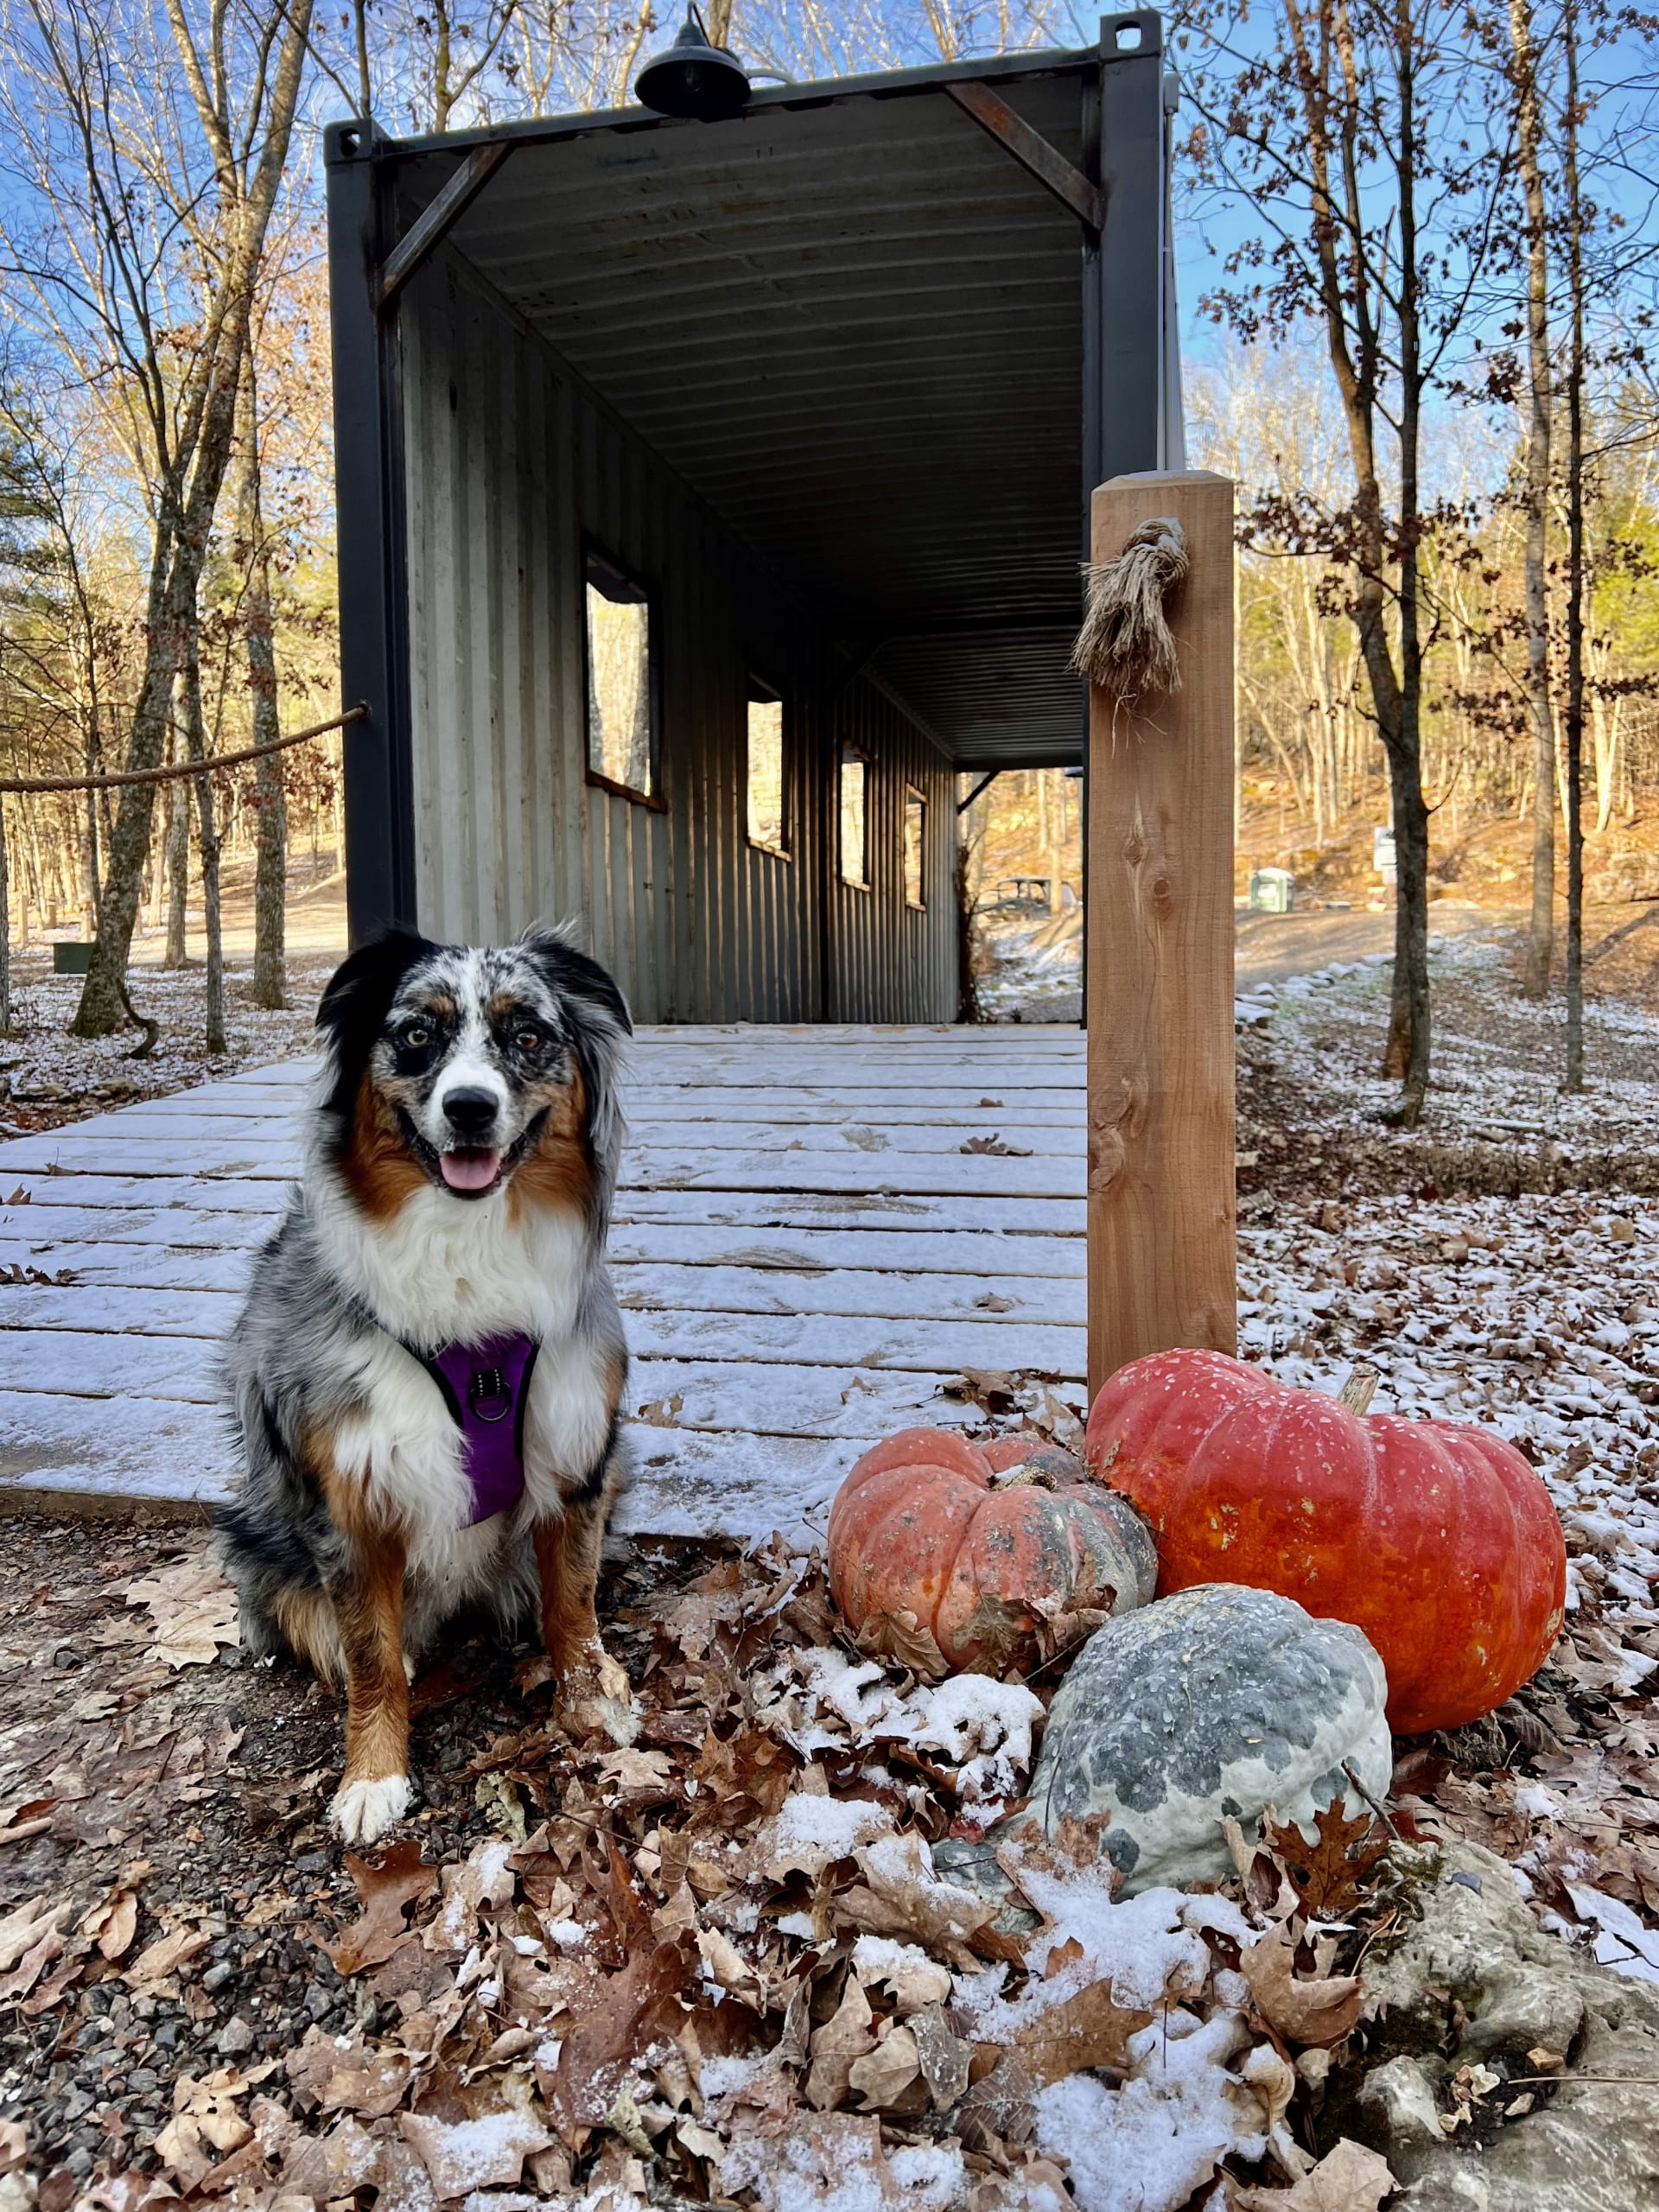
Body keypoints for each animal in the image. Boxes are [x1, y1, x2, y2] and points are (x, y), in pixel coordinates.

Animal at [218, 925, 632, 1840]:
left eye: (528, 1036)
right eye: (416, 1034)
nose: (470, 1107)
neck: (465, 1249)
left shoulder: (577, 1453)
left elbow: (574, 1600)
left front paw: (592, 1700)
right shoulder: (349, 1495)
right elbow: (370, 1654)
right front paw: (374, 1776)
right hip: (255, 1540)